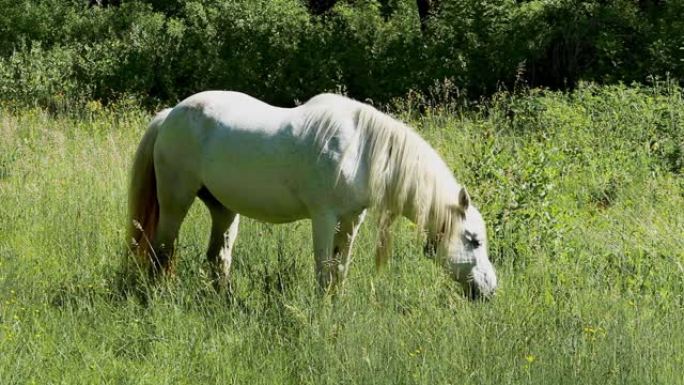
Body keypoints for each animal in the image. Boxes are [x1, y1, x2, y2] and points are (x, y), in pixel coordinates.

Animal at [127, 91, 496, 298]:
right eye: (474, 240)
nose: (491, 288)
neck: (361, 149)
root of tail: (170, 114)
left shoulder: (351, 220)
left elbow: (339, 269)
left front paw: (336, 307)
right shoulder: (324, 217)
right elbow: (323, 270)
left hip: (223, 209)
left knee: (218, 258)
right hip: (175, 202)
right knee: (162, 252)